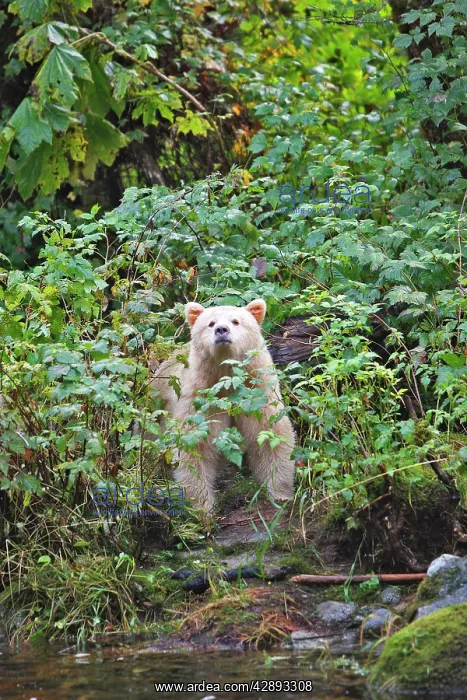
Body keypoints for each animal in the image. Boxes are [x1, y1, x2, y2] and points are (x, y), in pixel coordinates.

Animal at [151, 299, 295, 512]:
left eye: (236, 321)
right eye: (210, 323)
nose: (221, 330)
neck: (227, 377)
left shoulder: (256, 392)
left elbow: (271, 435)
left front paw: (280, 493)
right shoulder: (201, 398)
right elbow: (194, 446)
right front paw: (202, 506)